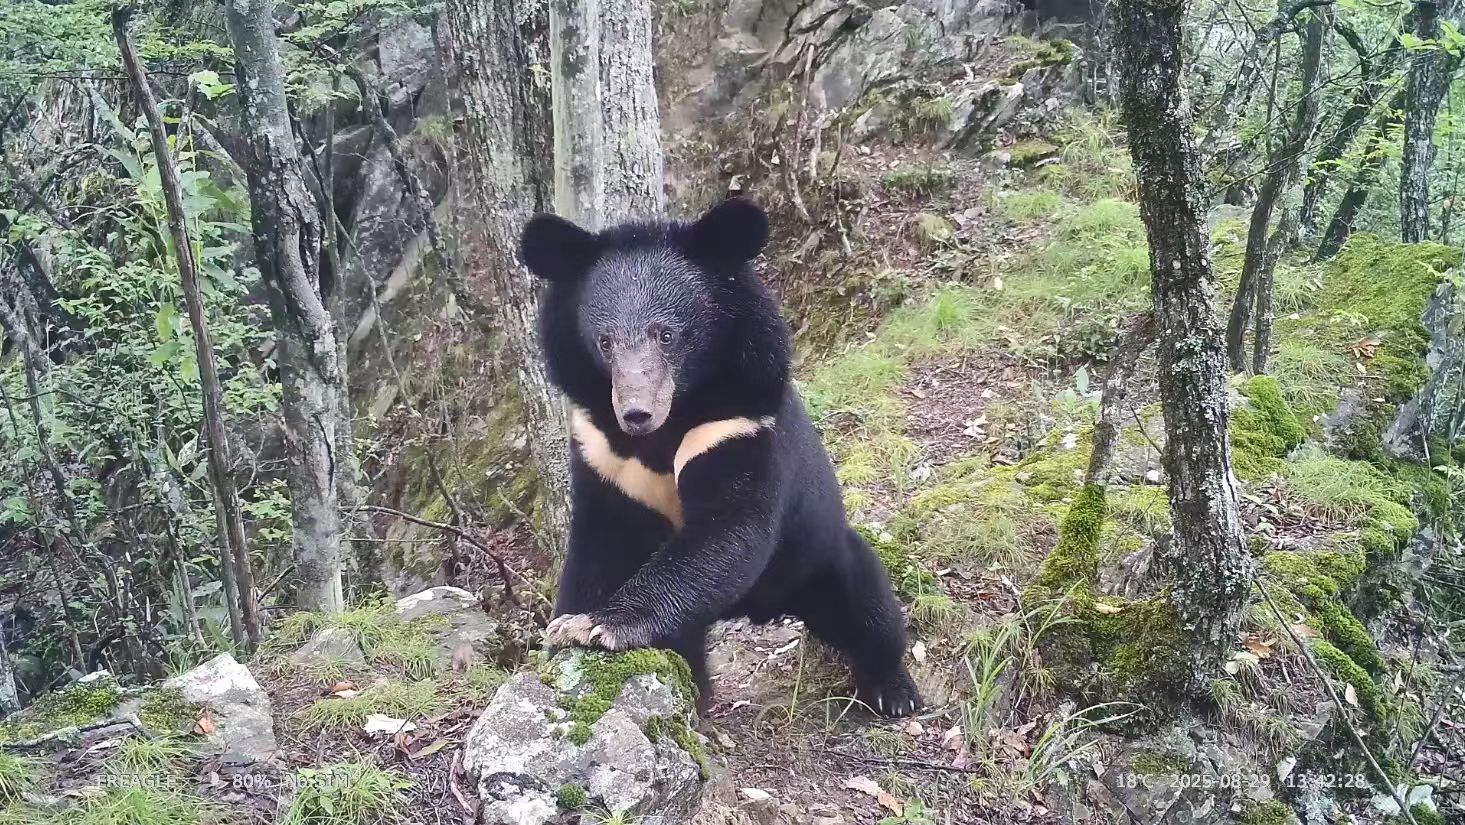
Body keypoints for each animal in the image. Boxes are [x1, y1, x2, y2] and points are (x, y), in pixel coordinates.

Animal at [519, 197, 922, 717]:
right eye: (604, 342)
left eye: (666, 335)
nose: (636, 413)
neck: (666, 428)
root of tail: (764, 608)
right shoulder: (601, 453)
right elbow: (597, 552)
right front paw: (564, 627)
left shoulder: (737, 424)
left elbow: (728, 531)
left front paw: (597, 626)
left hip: (816, 554)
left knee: (866, 603)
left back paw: (892, 690)